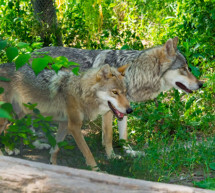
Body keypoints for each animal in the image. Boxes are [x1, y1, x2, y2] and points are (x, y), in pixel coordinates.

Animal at [0, 63, 132, 169]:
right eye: (115, 92)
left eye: (125, 92)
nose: (130, 110)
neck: (80, 91)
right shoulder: (74, 126)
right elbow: (88, 153)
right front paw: (97, 171)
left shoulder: (64, 124)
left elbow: (56, 149)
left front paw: (53, 165)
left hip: (18, 114)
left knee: (9, 128)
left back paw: (10, 149)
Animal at [33, 36, 203, 155]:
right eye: (183, 69)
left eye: (188, 67)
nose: (201, 84)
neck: (135, 73)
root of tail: (31, 52)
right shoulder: (109, 110)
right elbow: (108, 136)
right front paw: (112, 156)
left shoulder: (124, 108)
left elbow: (123, 135)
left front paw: (129, 152)